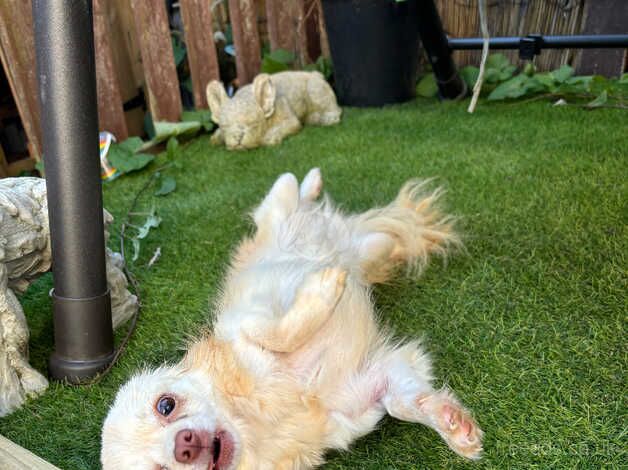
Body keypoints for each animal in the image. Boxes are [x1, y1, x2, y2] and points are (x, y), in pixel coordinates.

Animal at [100, 170, 484, 470]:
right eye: (159, 469)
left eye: (166, 405)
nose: (185, 444)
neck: (258, 419)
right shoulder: (373, 386)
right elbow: (404, 402)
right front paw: (453, 424)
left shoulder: (252, 321)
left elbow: (277, 333)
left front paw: (325, 288)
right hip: (371, 247)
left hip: (277, 209)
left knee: (286, 187)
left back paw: (313, 181)